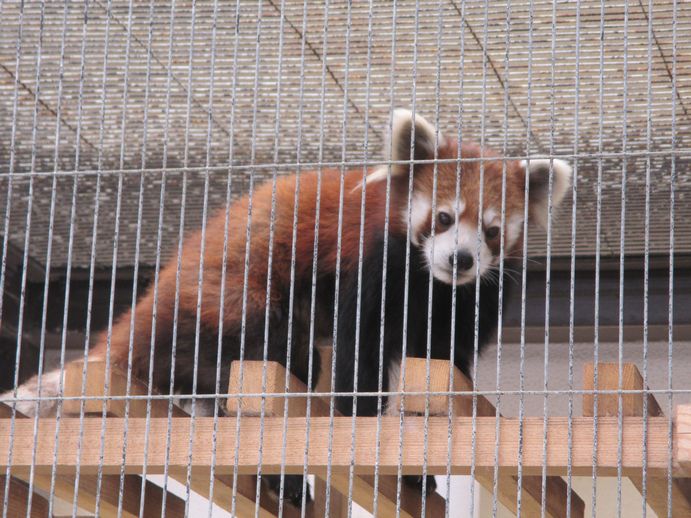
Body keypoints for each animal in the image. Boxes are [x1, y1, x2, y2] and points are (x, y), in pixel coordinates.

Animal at [2, 108, 572, 508]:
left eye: (492, 231)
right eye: (445, 217)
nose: (460, 258)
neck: (431, 282)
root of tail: (148, 302)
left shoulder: (472, 296)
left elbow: (441, 367)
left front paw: (418, 469)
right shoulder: (373, 259)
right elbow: (359, 350)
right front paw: (363, 431)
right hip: (233, 304)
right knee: (281, 360)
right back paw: (285, 480)